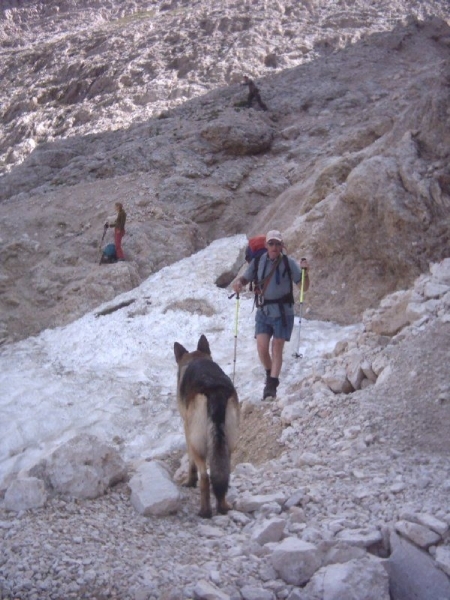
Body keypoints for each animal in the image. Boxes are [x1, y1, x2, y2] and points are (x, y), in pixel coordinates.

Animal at [174, 336, 241, 516]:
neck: (196, 358)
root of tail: (215, 390)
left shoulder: (187, 433)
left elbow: (191, 463)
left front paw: (190, 481)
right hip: (227, 445)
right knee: (222, 474)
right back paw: (223, 506)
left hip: (198, 442)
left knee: (205, 477)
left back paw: (205, 512)